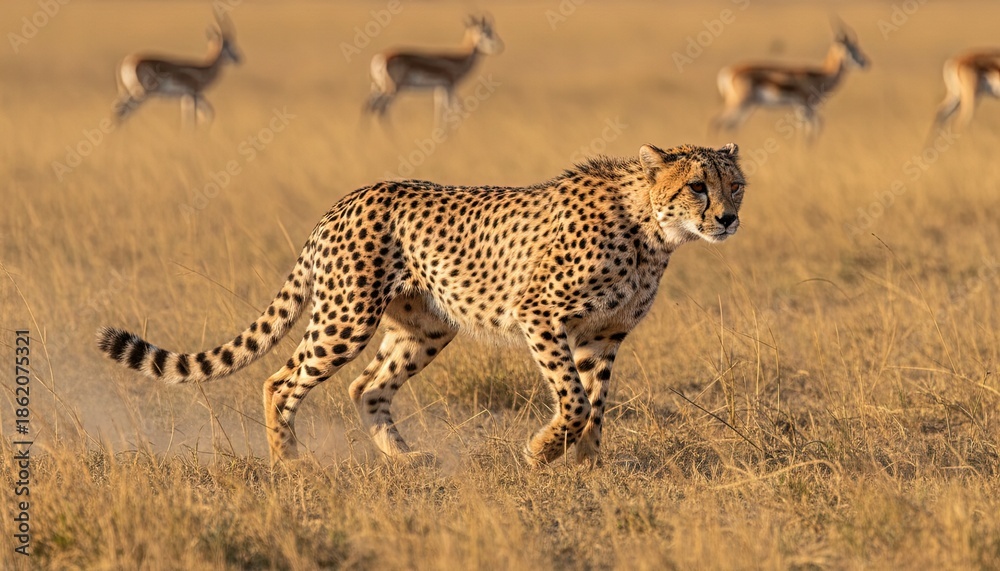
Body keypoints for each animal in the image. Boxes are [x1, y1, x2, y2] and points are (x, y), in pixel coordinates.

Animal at [97, 143, 747, 468]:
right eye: (697, 186)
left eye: (735, 185)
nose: (728, 218)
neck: (652, 228)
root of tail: (351, 196)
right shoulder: (540, 314)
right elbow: (574, 398)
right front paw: (545, 452)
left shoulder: (602, 335)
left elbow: (596, 401)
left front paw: (588, 467)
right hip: (346, 315)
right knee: (281, 380)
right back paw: (290, 463)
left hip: (426, 328)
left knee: (367, 386)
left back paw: (404, 459)